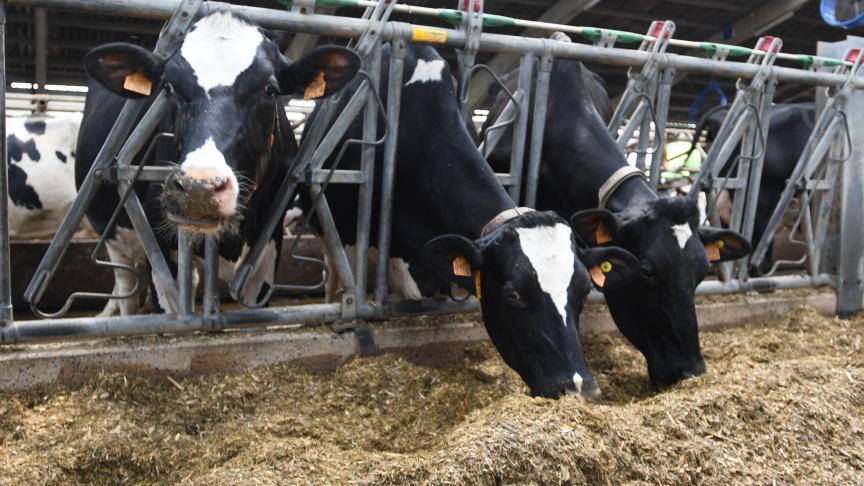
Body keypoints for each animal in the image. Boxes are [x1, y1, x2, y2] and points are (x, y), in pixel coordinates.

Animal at [75, 10, 360, 316]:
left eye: (270, 90)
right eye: (168, 86)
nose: (199, 188)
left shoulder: (267, 249)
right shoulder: (159, 247)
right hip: (115, 238)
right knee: (126, 288)